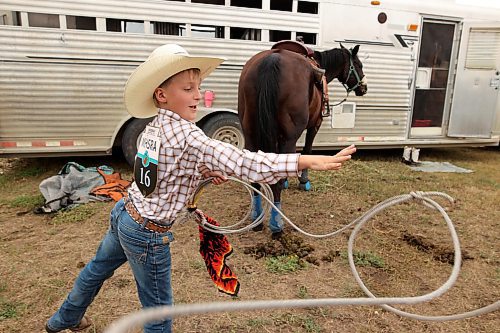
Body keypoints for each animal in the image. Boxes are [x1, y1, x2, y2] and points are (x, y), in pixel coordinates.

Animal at [238, 43, 368, 236]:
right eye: (359, 64)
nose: (364, 88)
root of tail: (273, 59)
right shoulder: (315, 124)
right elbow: (306, 150)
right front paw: (303, 181)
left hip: (250, 133)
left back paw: (257, 218)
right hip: (291, 133)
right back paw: (276, 224)